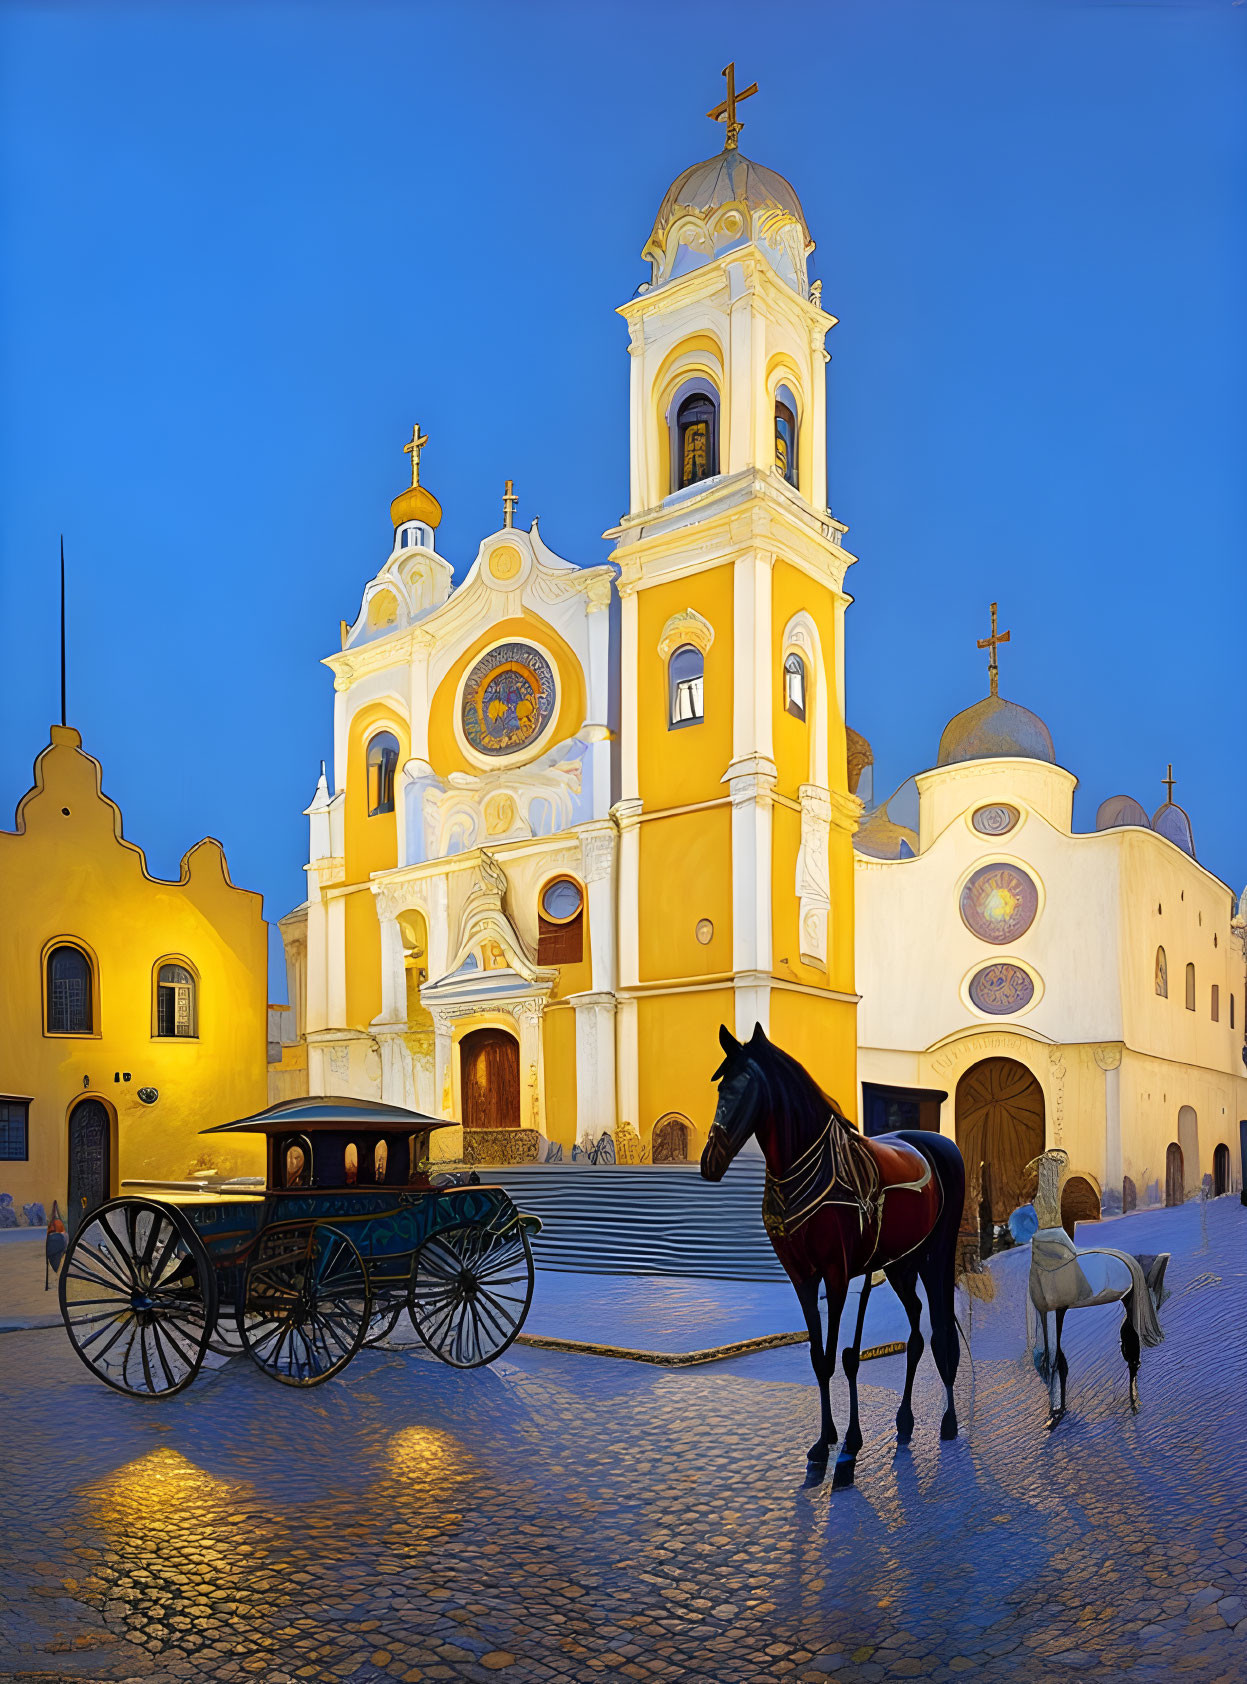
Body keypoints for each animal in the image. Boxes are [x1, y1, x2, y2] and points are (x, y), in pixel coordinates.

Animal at [1024, 1158, 1166, 1434]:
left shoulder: (1054, 1310)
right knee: (1131, 1343)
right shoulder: (1046, 1312)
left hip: (1130, 1302)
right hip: (1129, 1301)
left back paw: (1134, 1403)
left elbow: (1053, 1361)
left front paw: (1055, 1415)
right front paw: (1057, 1412)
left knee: (1132, 1351)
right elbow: (1053, 1360)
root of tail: (1130, 1261)